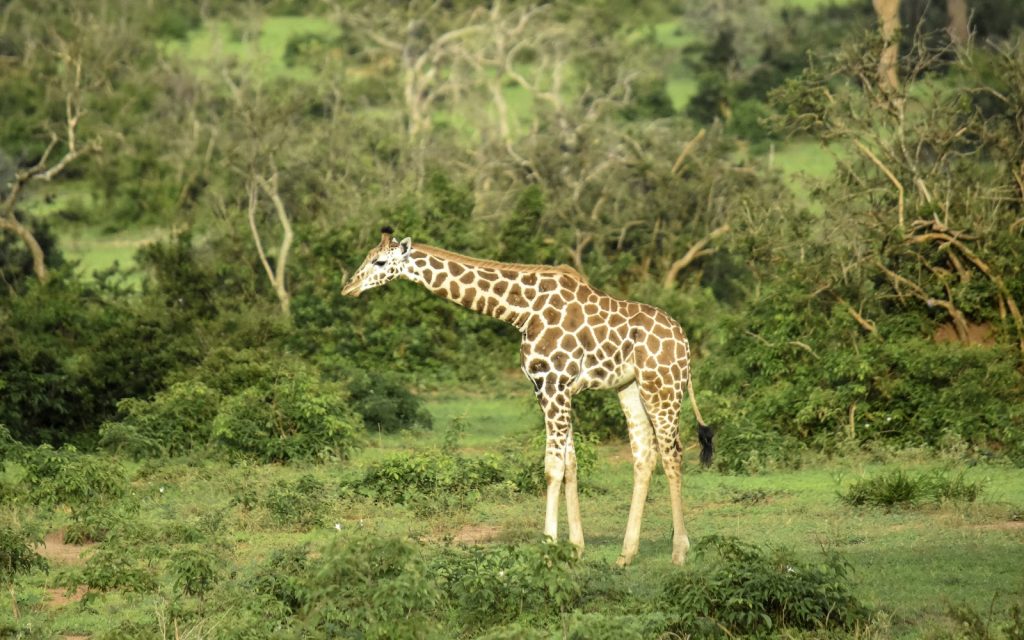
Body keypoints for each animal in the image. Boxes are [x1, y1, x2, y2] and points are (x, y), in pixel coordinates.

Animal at [342, 227, 714, 565]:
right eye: (366, 257)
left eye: (379, 261)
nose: (349, 287)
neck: (522, 311)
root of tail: (685, 342)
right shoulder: (552, 388)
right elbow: (571, 463)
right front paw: (575, 548)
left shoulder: (553, 383)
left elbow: (553, 466)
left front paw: (548, 547)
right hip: (631, 388)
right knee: (644, 456)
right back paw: (626, 555)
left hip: (663, 386)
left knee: (673, 454)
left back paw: (679, 552)